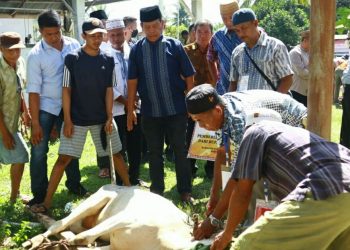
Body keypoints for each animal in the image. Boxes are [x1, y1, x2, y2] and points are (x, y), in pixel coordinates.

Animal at [28, 185, 211, 249]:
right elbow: (84, 238)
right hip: (96, 199)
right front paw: (72, 241)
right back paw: (35, 240)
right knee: (59, 224)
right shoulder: (126, 216)